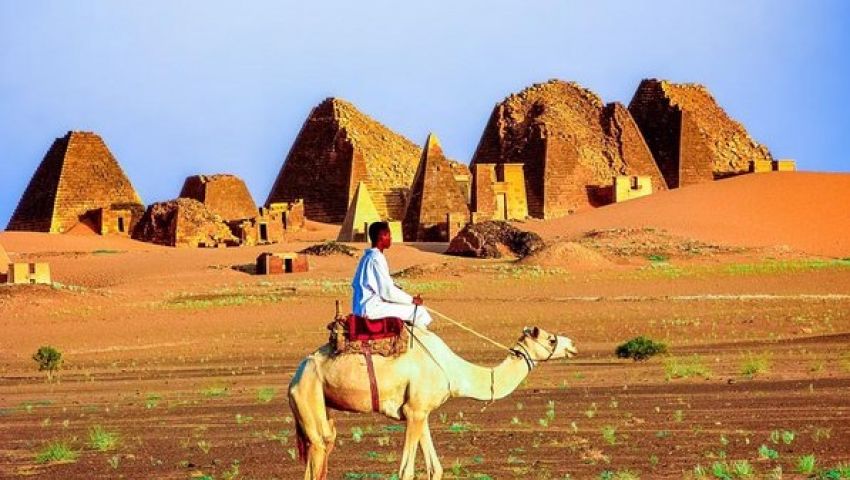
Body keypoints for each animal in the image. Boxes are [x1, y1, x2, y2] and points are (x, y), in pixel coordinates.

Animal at [288, 322, 572, 480]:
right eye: (551, 339)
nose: (572, 345)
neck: (453, 371)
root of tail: (297, 374)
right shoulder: (414, 412)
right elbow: (406, 471)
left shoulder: (419, 412)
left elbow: (436, 469)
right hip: (307, 393)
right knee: (319, 449)